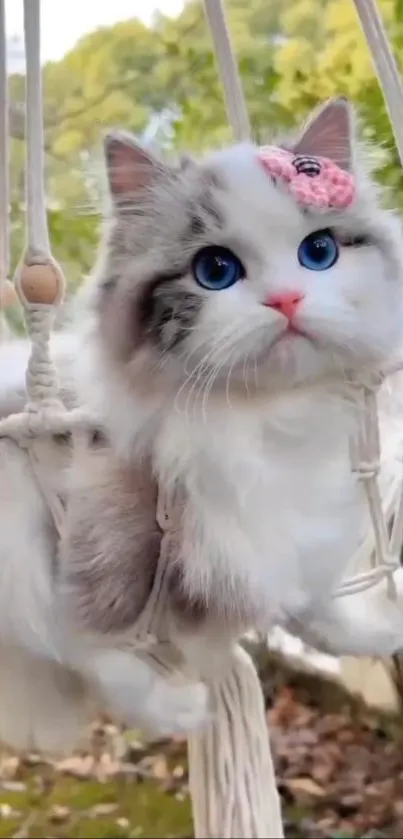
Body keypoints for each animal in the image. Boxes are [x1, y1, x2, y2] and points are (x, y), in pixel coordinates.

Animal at [0, 98, 403, 756]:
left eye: (318, 252)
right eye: (215, 270)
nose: (287, 300)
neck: (261, 420)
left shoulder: (278, 538)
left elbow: (312, 604)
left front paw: (378, 632)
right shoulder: (36, 553)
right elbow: (89, 645)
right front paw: (181, 710)